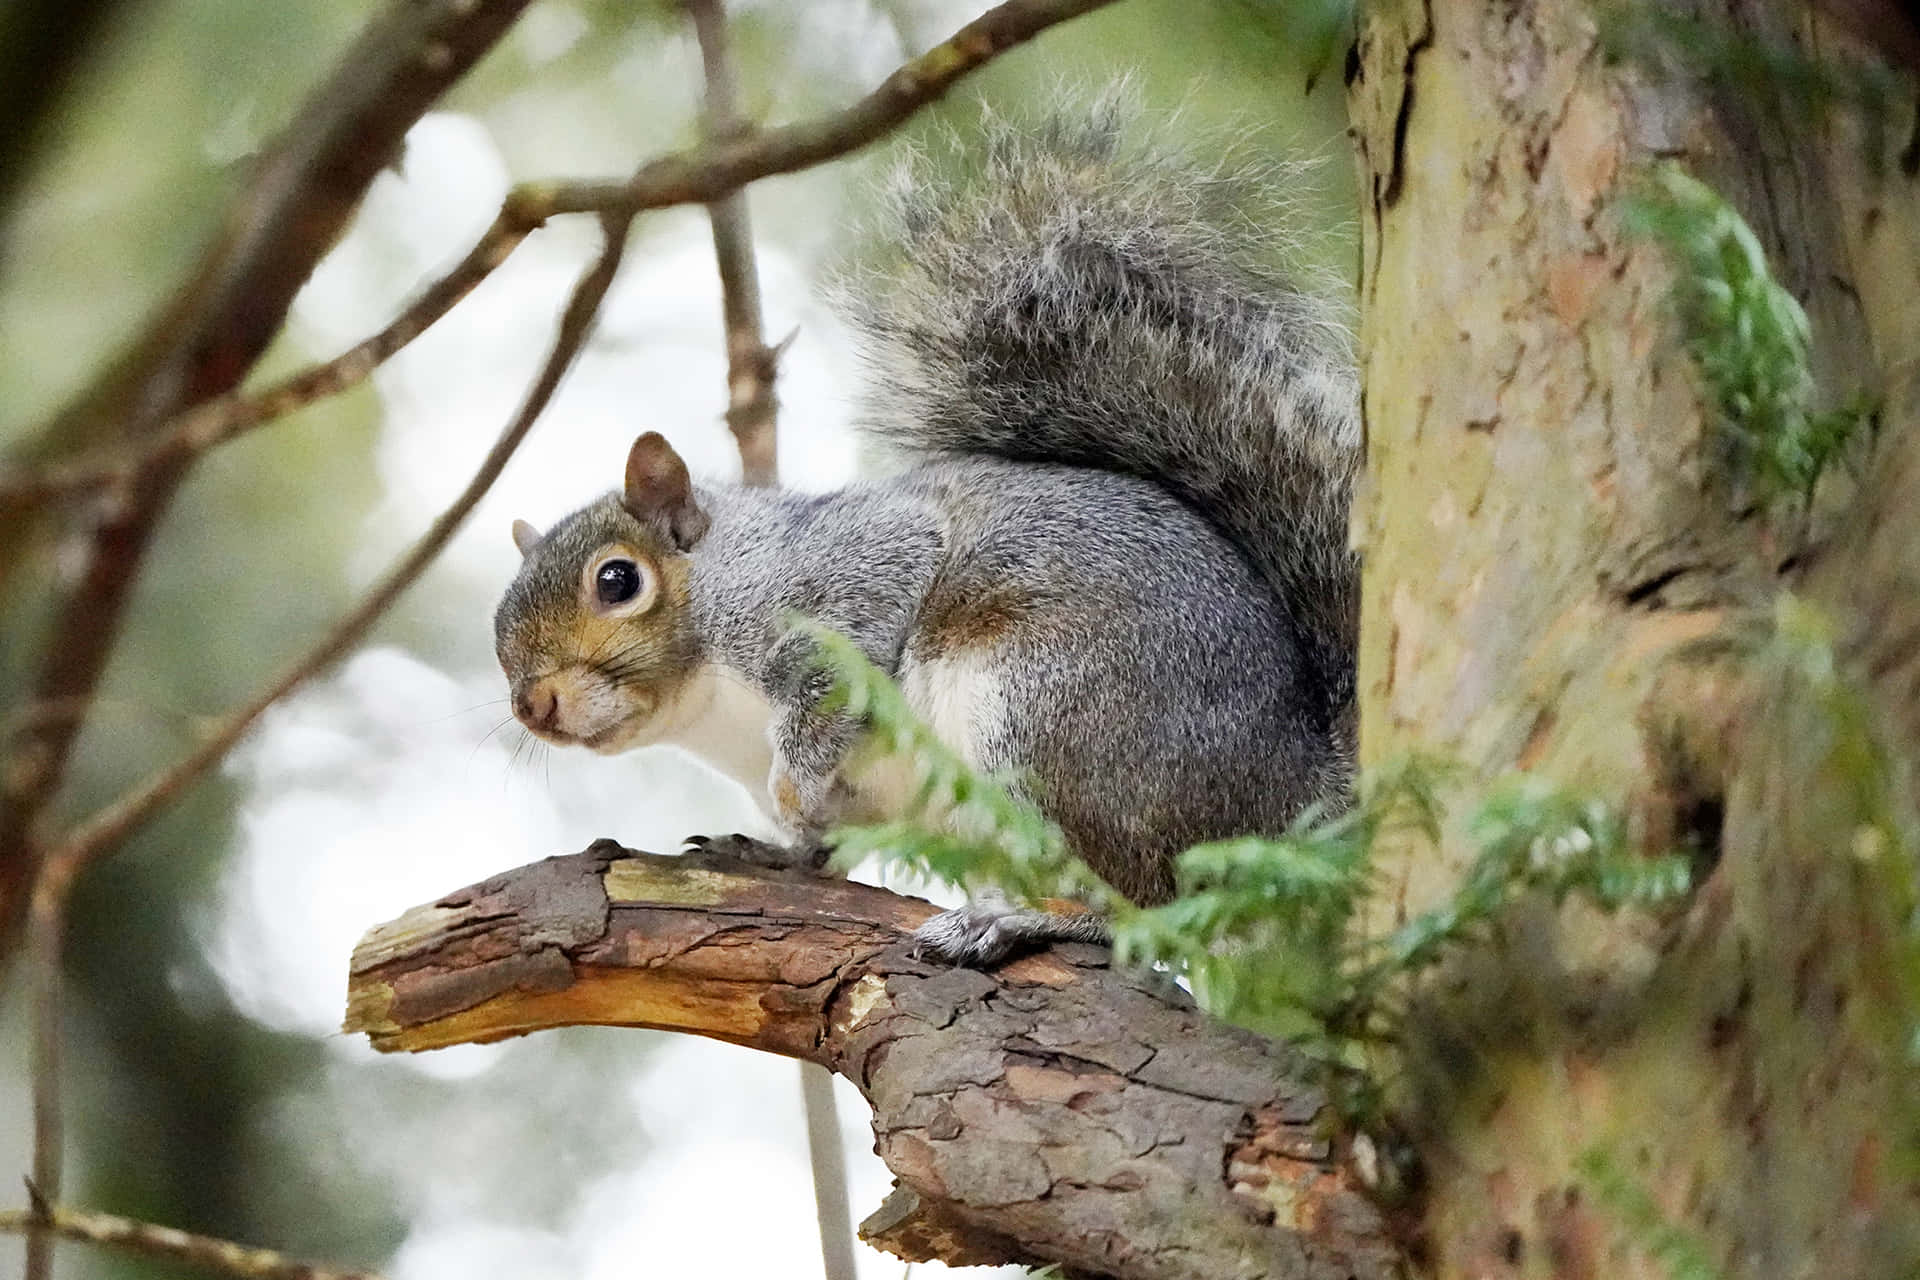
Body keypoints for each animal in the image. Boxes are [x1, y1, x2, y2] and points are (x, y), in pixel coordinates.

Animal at [495, 97, 1367, 959]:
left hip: (1056, 715)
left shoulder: (835, 583)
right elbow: (823, 840)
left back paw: (1020, 918)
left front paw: (792, 790)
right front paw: (775, 848)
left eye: (618, 580)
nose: (532, 705)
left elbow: (833, 681)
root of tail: (1296, 788)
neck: (710, 707)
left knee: (1142, 898)